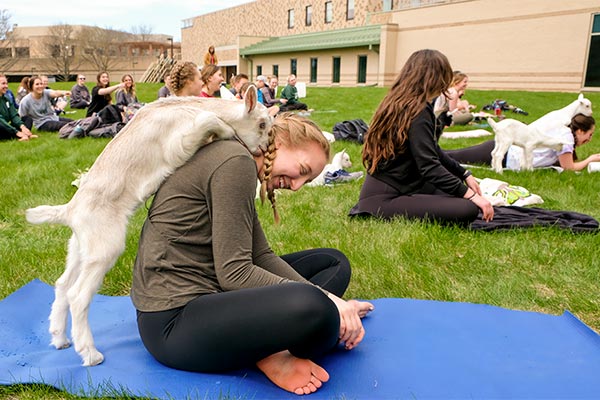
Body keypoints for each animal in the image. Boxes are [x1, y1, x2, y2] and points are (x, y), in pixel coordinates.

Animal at [24, 90, 270, 366]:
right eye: (262, 125)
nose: (263, 148)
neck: (189, 106)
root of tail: (70, 210)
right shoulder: (178, 145)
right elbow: (209, 121)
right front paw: (226, 132)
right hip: (105, 247)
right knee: (77, 296)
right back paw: (90, 353)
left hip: (80, 247)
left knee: (63, 285)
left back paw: (59, 338)